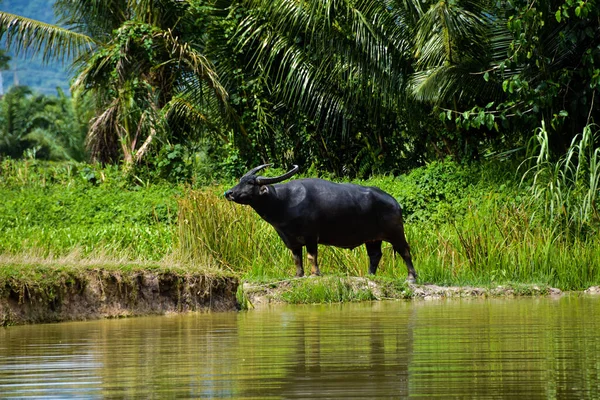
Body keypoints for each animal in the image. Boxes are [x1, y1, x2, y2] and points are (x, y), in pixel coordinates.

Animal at [225, 164, 418, 282]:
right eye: (240, 180)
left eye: (250, 182)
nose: (229, 193)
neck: (283, 202)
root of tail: (394, 202)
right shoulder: (290, 239)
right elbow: (296, 258)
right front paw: (298, 275)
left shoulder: (311, 236)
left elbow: (311, 256)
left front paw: (315, 274)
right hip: (372, 238)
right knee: (375, 255)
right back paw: (369, 276)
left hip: (395, 232)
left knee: (404, 250)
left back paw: (411, 277)